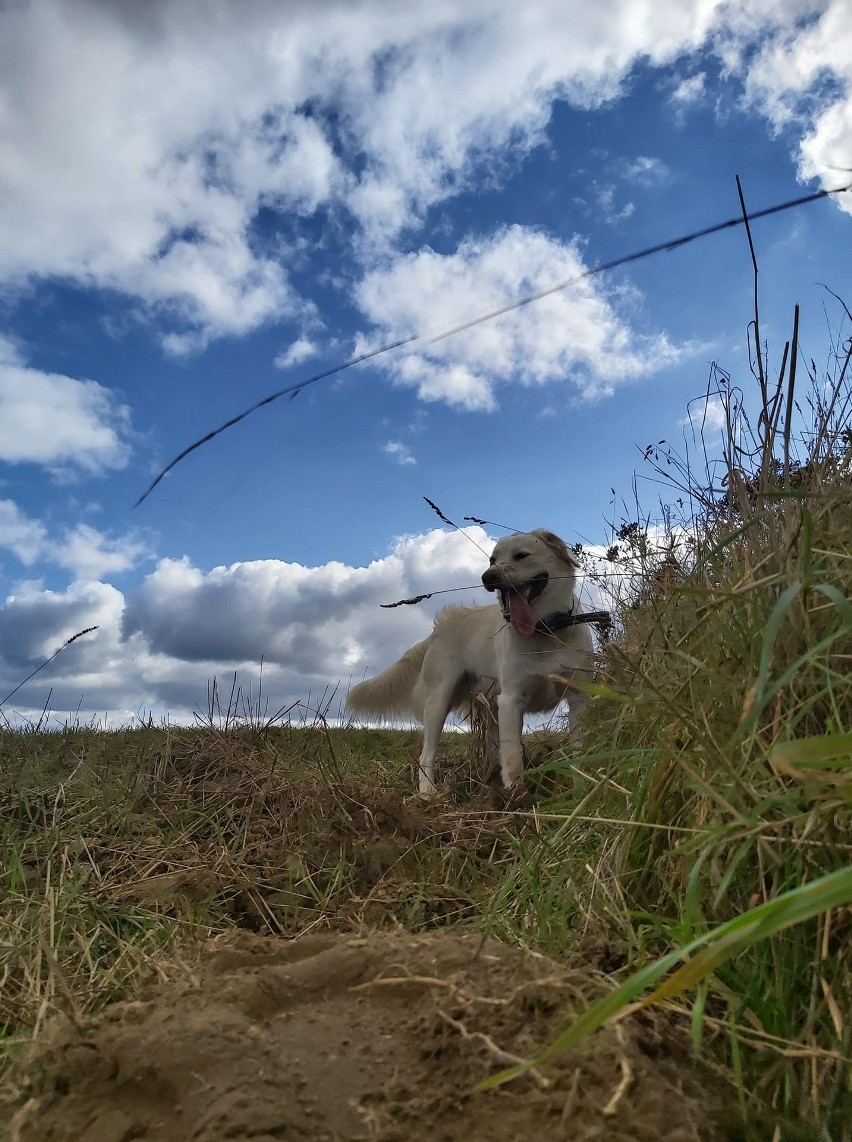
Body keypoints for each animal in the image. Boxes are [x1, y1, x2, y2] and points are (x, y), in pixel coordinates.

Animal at [344, 527, 589, 790]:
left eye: (521, 555)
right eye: (492, 560)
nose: (488, 577)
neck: (545, 630)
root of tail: (438, 629)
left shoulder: (578, 697)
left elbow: (579, 751)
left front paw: (581, 785)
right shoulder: (511, 700)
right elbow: (513, 759)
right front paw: (517, 794)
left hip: (489, 707)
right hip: (438, 701)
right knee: (427, 755)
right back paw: (428, 793)